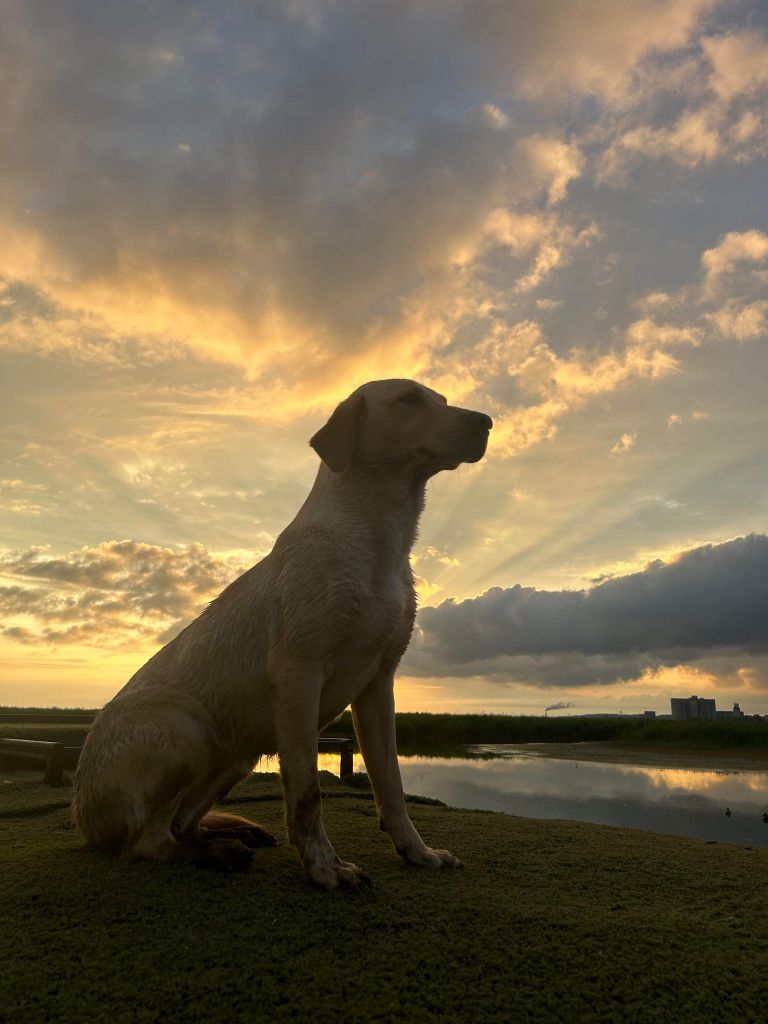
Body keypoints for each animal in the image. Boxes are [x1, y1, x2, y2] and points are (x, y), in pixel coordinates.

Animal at [73, 378, 493, 888]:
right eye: (408, 399)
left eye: (443, 400)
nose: (487, 422)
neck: (374, 539)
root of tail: (83, 819)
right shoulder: (298, 674)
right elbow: (308, 793)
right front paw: (326, 868)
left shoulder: (378, 685)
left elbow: (391, 784)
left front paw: (419, 852)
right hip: (186, 730)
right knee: (148, 842)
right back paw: (220, 852)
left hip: (233, 758)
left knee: (179, 825)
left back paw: (231, 834)